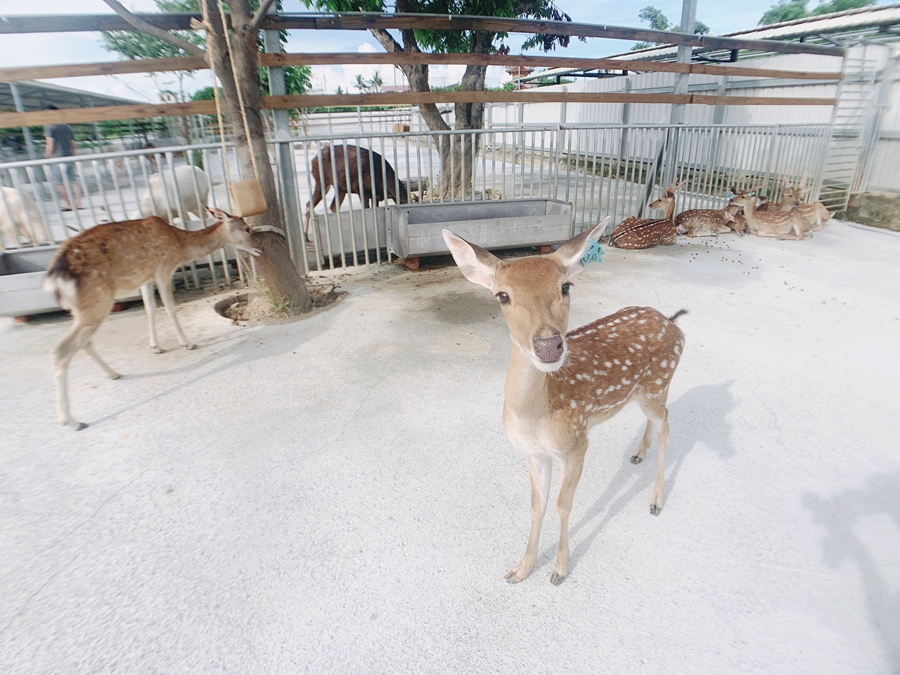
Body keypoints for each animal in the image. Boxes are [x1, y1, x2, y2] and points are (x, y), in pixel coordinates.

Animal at [43, 207, 260, 434]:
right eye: (247, 228)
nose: (259, 248)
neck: (180, 246)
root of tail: (53, 280)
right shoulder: (163, 268)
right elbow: (169, 307)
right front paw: (188, 343)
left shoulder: (146, 278)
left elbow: (150, 308)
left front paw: (155, 346)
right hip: (97, 301)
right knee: (61, 349)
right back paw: (72, 421)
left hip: (80, 309)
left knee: (83, 342)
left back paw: (113, 374)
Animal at [442, 223, 688, 588]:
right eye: (503, 295)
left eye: (565, 286)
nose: (548, 345)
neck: (535, 416)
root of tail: (673, 323)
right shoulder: (534, 452)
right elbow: (536, 506)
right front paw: (521, 569)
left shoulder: (576, 444)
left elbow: (562, 505)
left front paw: (559, 569)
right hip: (645, 392)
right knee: (657, 419)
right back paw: (637, 454)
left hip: (658, 383)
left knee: (667, 423)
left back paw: (656, 501)